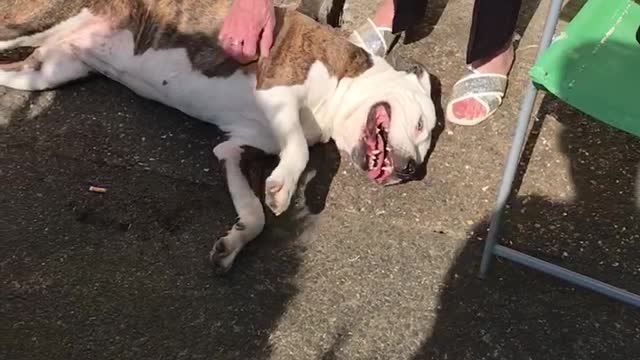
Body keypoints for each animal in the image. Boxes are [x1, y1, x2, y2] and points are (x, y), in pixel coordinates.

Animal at [0, 0, 438, 270]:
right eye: (422, 126)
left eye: (427, 142)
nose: (413, 170)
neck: (343, 82)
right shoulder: (278, 87)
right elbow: (297, 150)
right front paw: (285, 188)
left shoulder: (237, 148)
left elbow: (254, 213)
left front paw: (234, 242)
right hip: (39, 23)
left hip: (47, 73)